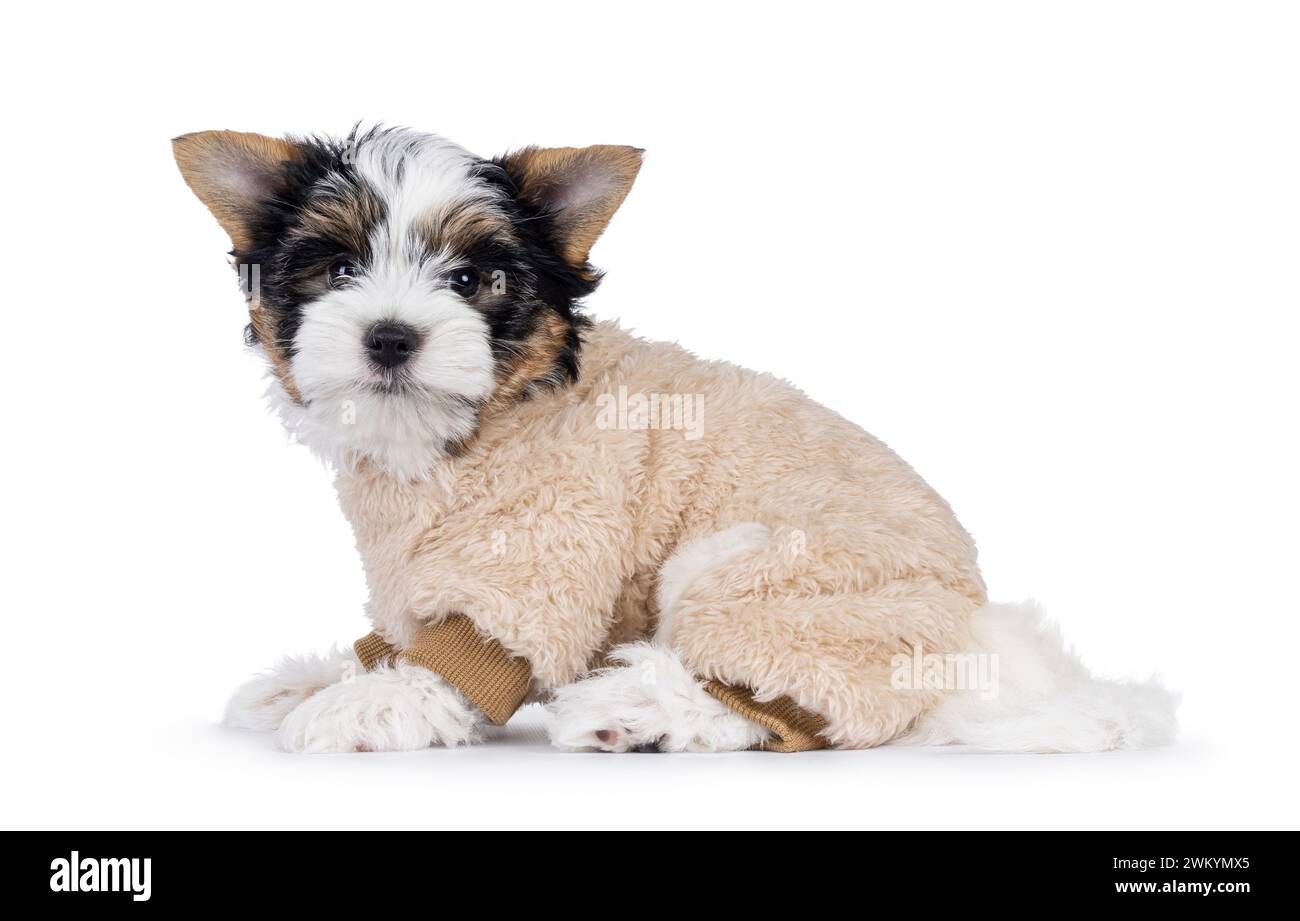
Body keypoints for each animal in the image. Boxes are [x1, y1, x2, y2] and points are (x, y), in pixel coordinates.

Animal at [172, 126, 1180, 754]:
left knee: (787, 703)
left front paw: (372, 700)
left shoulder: (541, 542)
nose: (389, 335)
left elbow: (473, 645)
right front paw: (325, 676)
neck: (478, 421)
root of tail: (976, 632)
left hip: (782, 580)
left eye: (471, 279)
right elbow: (406, 631)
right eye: (338, 267)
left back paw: (634, 707)